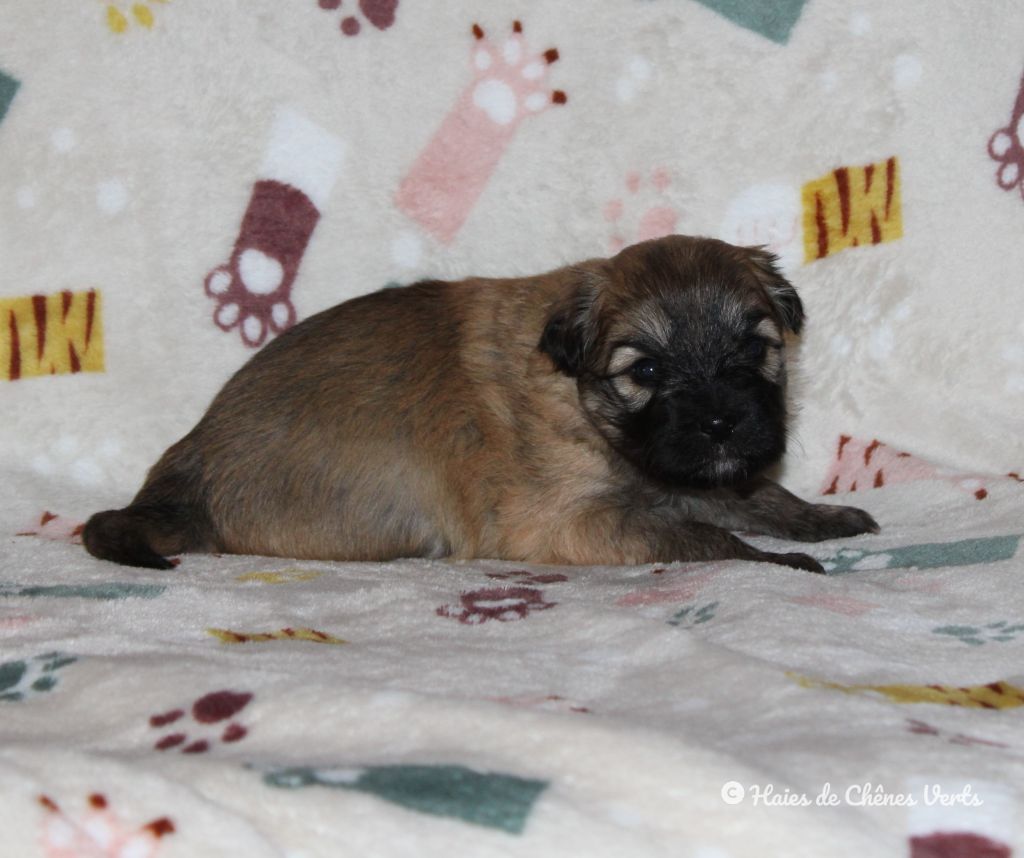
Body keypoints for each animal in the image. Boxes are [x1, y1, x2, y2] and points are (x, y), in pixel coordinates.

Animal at [83, 231, 876, 573]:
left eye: (756, 349)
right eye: (645, 369)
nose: (721, 423)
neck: (581, 403)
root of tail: (185, 468)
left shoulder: (687, 476)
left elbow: (762, 496)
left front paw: (825, 519)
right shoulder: (571, 523)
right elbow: (703, 537)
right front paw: (778, 561)